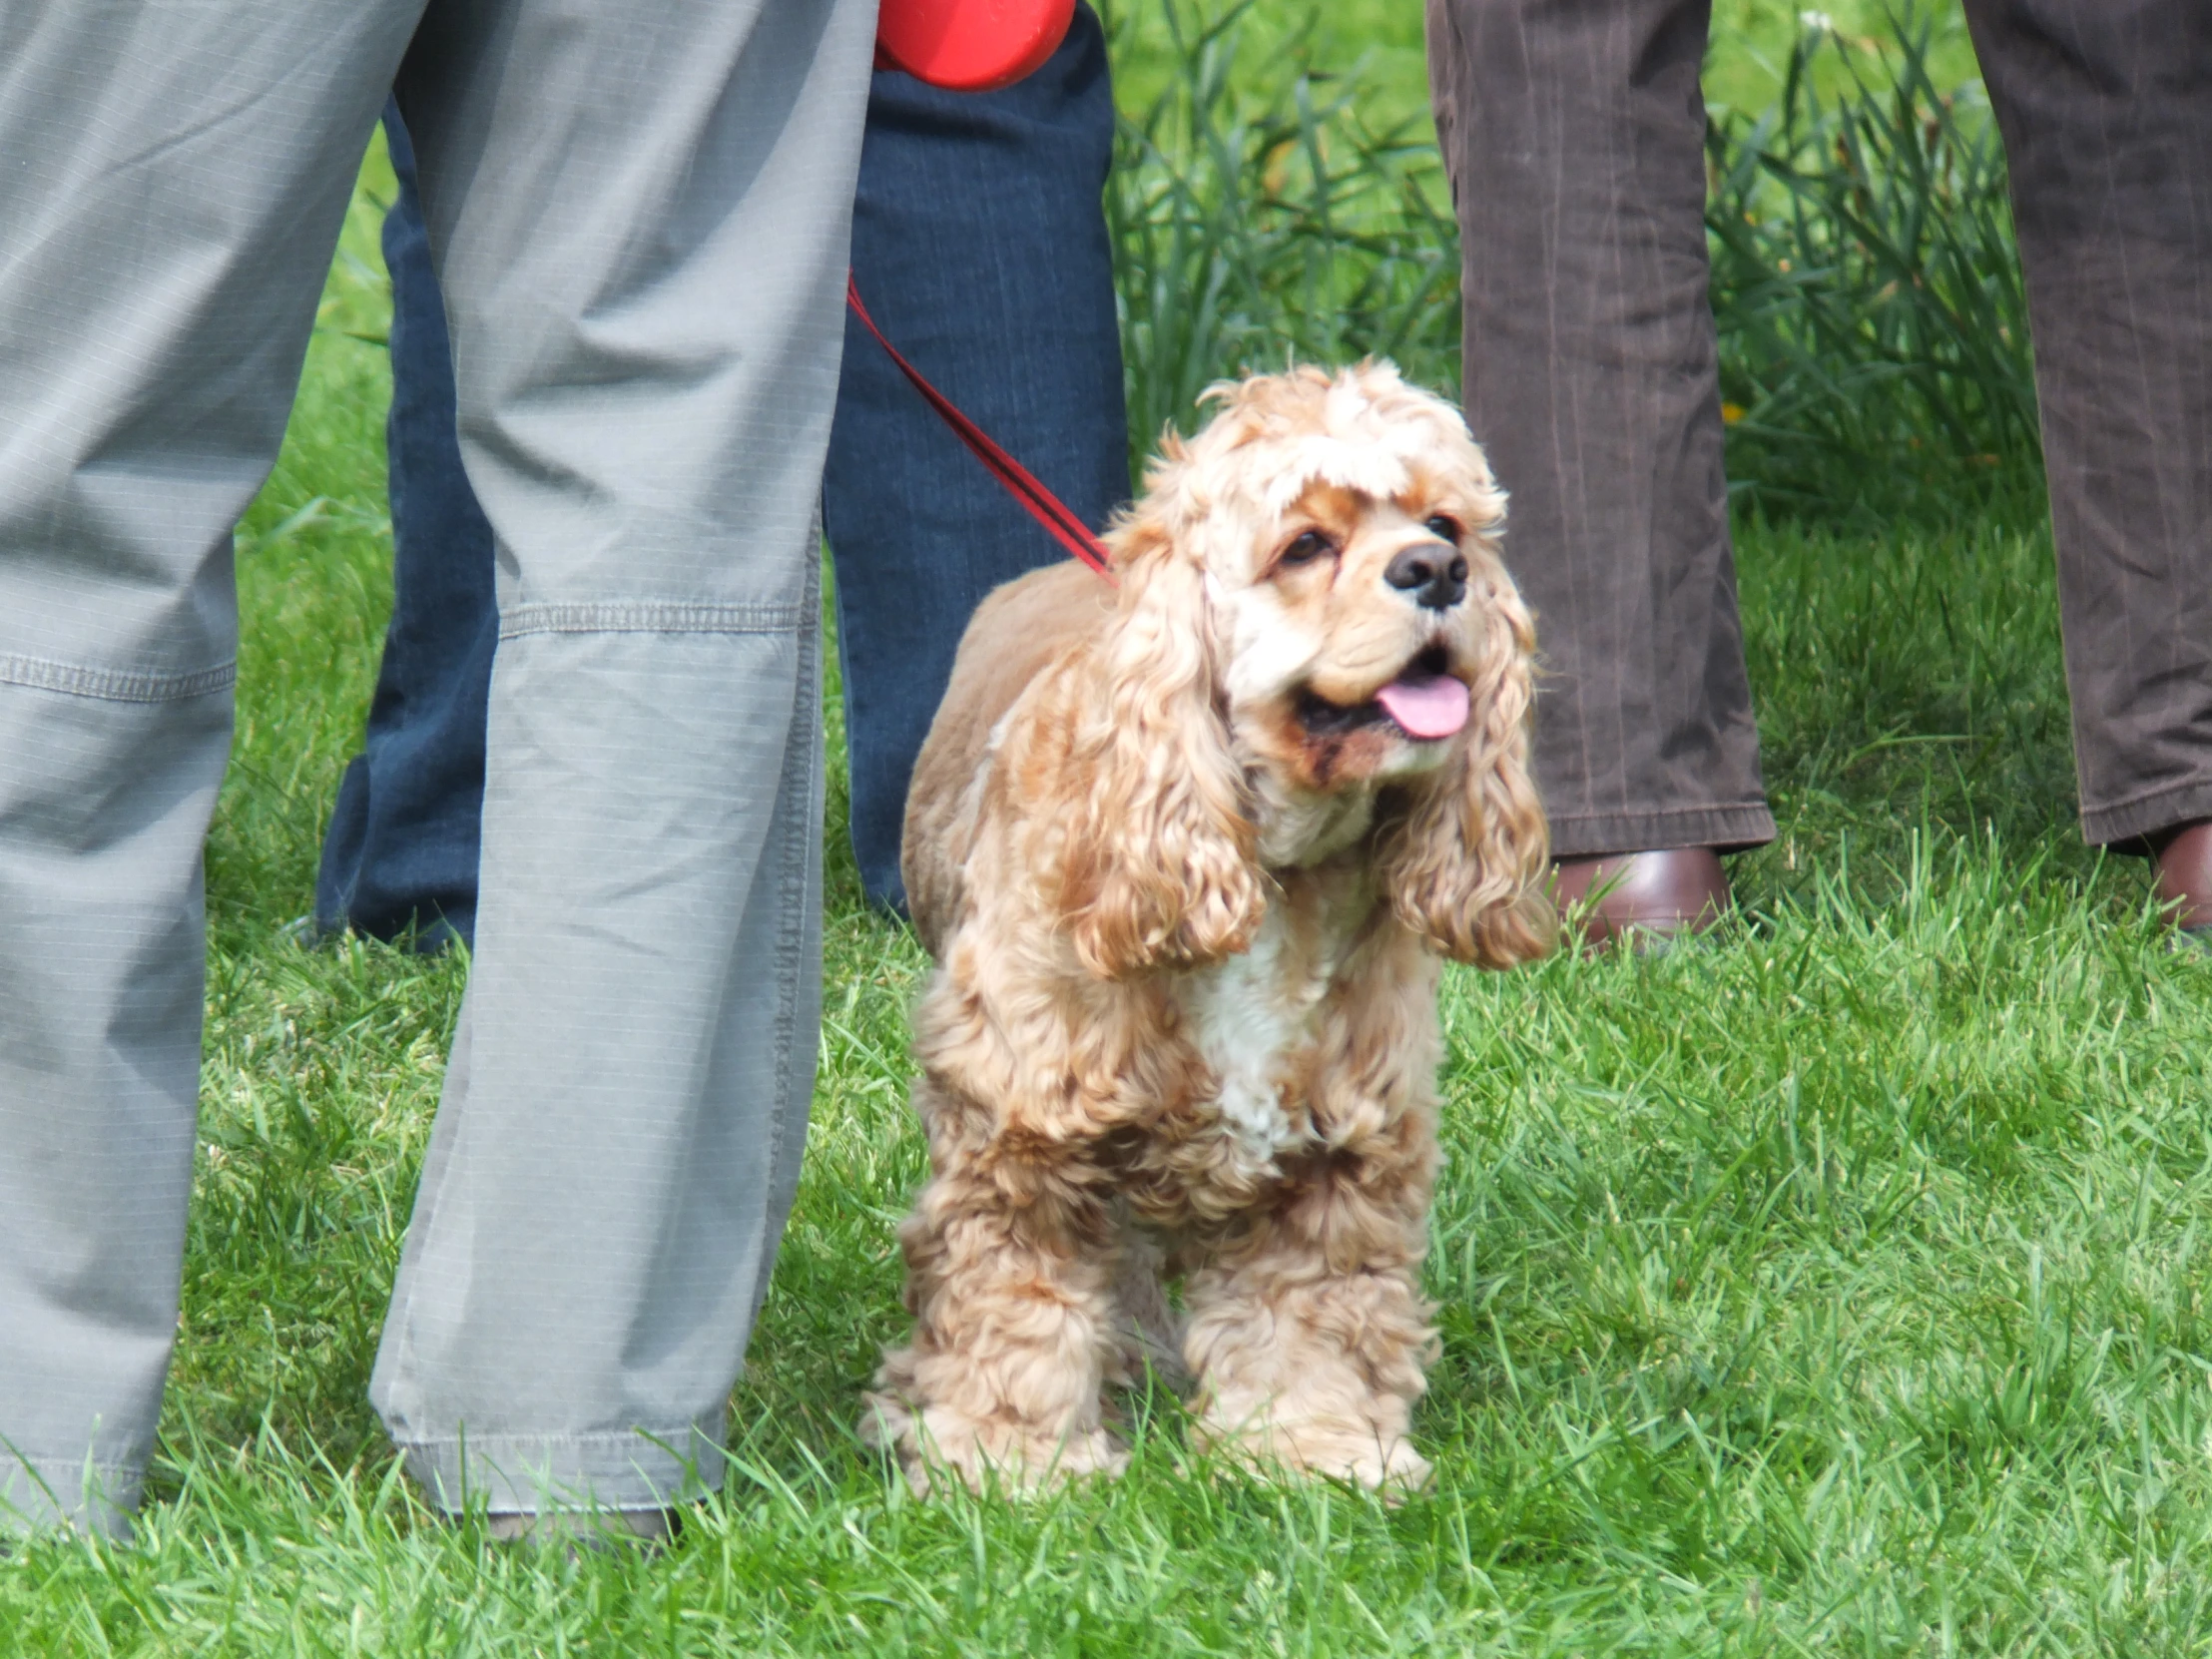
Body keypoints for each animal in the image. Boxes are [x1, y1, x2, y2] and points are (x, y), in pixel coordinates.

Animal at [853, 360, 1548, 1495]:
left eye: (1445, 523)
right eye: (1304, 546)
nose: (1438, 571)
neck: (1274, 871)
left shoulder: (1339, 1152)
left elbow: (1311, 1319)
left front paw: (1312, 1451)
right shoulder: (1023, 1126)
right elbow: (1013, 1304)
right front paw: (1008, 1469)